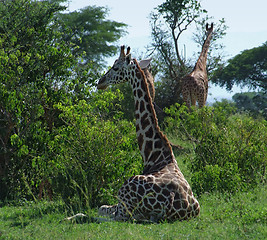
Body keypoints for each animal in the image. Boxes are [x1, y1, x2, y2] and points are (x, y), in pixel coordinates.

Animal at [97, 46, 200, 222]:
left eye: (115, 67)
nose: (100, 82)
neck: (154, 155)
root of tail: (171, 200)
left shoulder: (120, 206)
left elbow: (99, 208)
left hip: (125, 199)